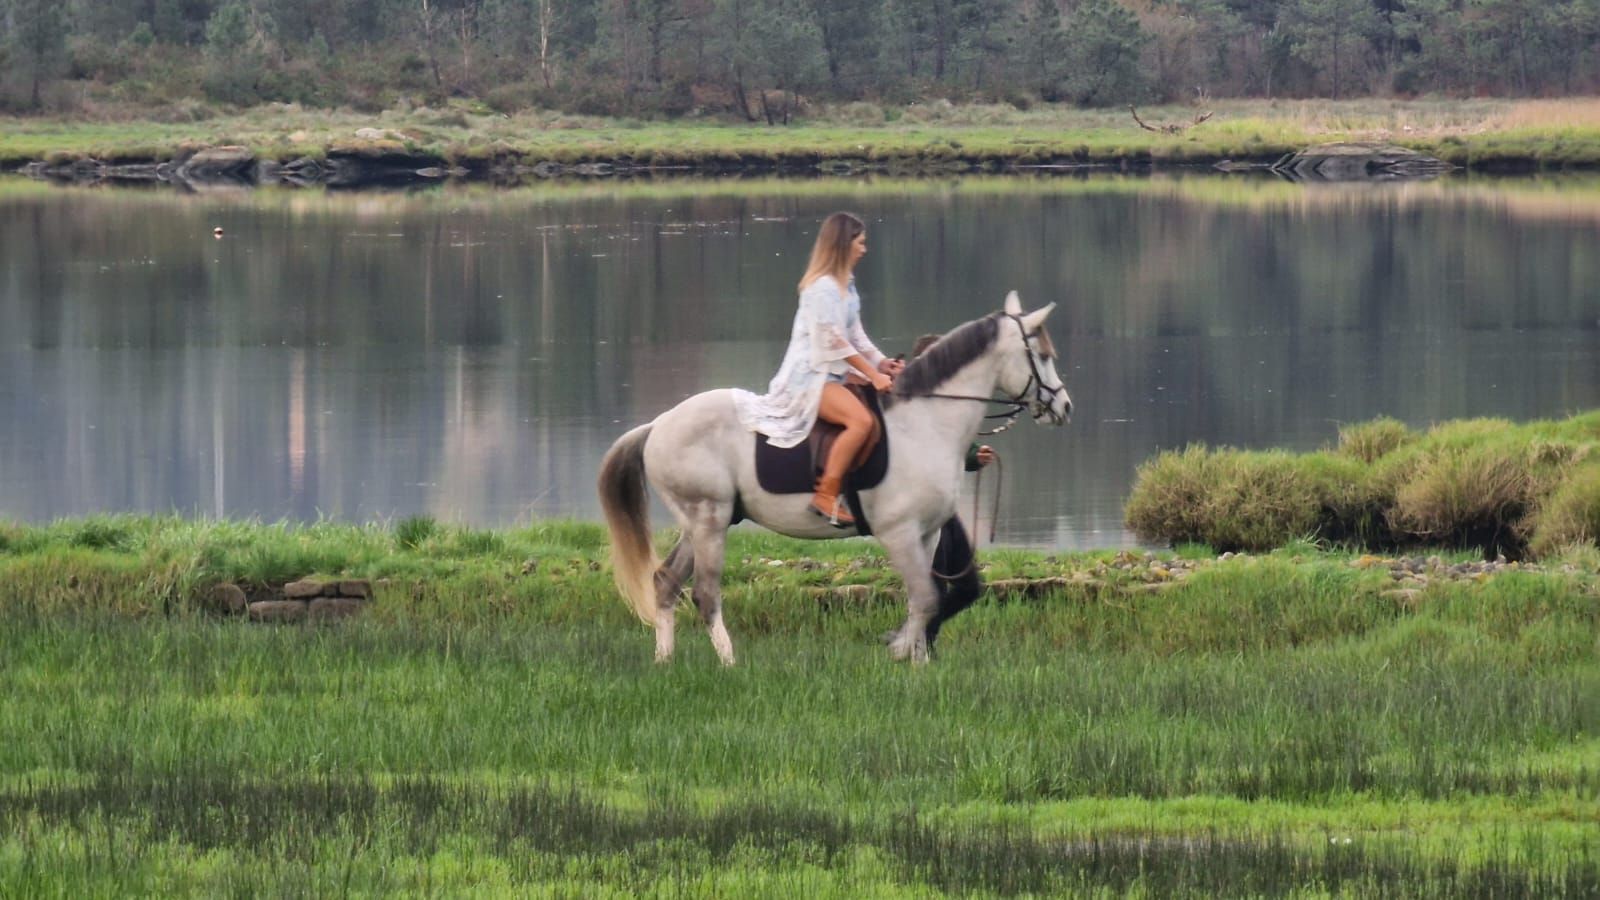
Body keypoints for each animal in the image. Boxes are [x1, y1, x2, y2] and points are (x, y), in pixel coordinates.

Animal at [595, 291, 1068, 662]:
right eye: (1044, 356)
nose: (1063, 407)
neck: (924, 420)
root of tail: (658, 425)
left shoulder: (927, 534)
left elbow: (926, 601)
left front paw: (916, 662)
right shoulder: (898, 533)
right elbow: (925, 599)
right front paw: (901, 654)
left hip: (702, 524)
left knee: (666, 582)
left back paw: (665, 660)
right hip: (708, 520)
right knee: (705, 594)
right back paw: (730, 664)